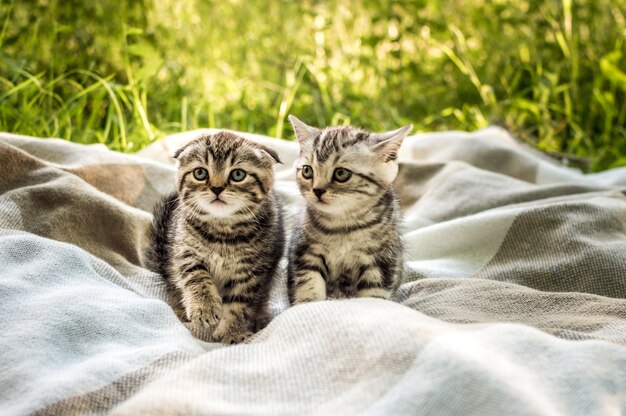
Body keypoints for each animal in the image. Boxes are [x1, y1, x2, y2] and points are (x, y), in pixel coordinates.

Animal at [144, 131, 282, 344]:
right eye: (200, 173)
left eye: (238, 175)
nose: (216, 188)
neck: (222, 232)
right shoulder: (185, 251)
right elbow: (196, 276)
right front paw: (205, 308)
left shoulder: (252, 271)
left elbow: (241, 303)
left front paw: (233, 333)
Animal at [284, 115, 410, 304]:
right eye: (307, 171)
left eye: (341, 174)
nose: (317, 190)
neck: (342, 225)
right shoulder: (305, 252)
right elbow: (308, 287)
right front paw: (307, 304)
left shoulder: (381, 260)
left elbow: (374, 296)